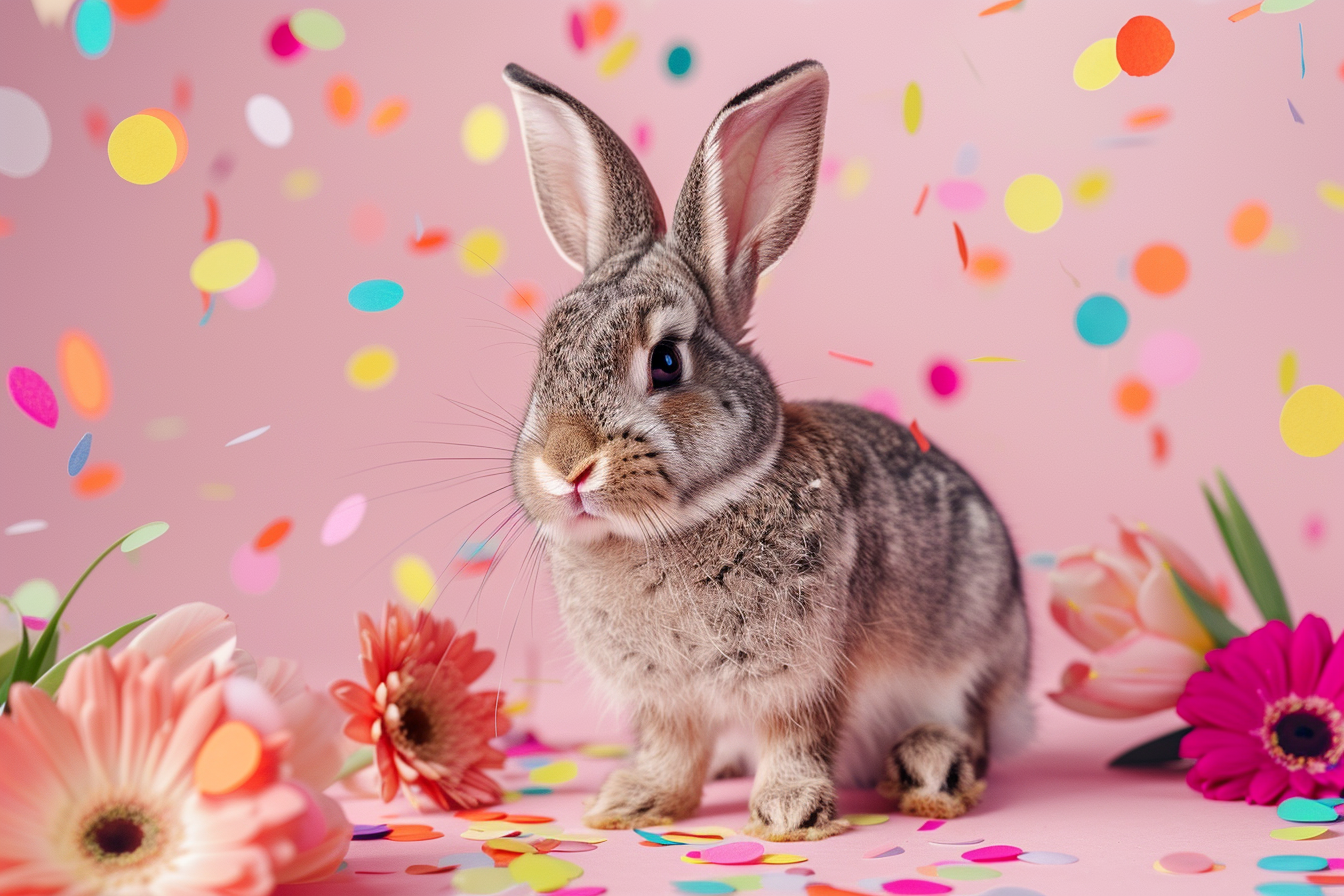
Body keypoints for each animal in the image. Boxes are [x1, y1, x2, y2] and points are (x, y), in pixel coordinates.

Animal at [501, 59, 1032, 841]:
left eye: (666, 362)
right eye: (545, 354)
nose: (565, 466)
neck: (672, 528)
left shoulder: (806, 677)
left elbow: (798, 737)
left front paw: (787, 812)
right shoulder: (664, 698)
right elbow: (671, 748)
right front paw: (633, 801)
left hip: (974, 653)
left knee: (973, 732)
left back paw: (930, 767)